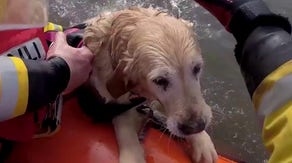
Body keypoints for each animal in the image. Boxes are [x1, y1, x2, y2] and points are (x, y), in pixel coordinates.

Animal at [82, 6, 217, 163]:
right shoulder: (114, 103)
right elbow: (124, 126)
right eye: (160, 80)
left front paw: (202, 142)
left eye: (197, 68)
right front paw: (133, 156)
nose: (195, 127)